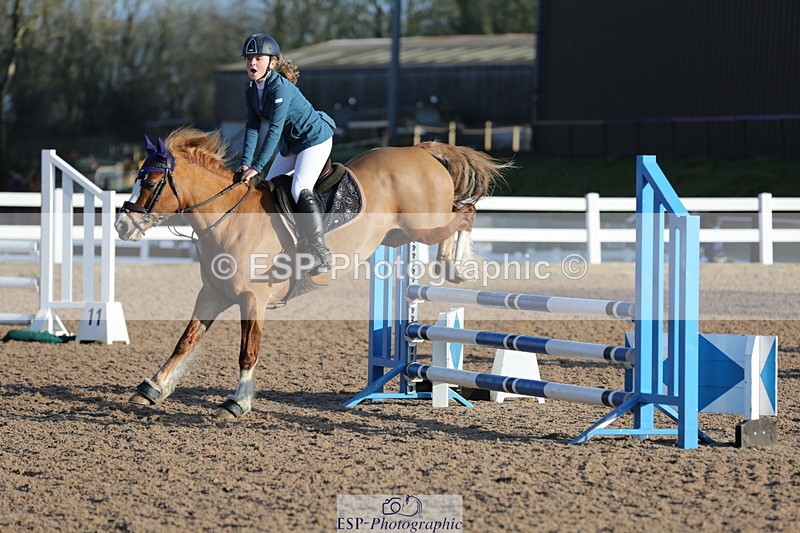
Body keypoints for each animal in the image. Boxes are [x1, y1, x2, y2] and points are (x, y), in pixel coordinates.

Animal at [115, 127, 510, 420]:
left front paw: (237, 403)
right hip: (399, 235)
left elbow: (247, 351)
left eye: (149, 182)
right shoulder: (212, 294)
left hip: (423, 225)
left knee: (466, 212)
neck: (227, 219)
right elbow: (185, 341)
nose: (121, 226)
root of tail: (422, 150)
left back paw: (456, 266)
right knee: (459, 215)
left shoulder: (252, 299)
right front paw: (152, 388)